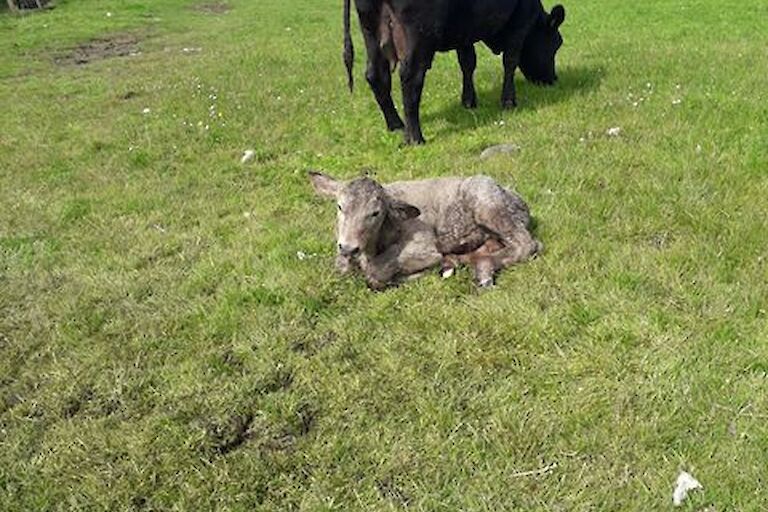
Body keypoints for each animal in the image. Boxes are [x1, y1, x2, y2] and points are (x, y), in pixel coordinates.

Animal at [308, 172, 540, 288]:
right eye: (340, 206)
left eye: (375, 213)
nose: (349, 247)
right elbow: (341, 267)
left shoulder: (424, 244)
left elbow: (375, 271)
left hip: (488, 204)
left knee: (527, 244)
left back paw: (481, 269)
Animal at [344, 0, 568, 144]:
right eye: (557, 43)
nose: (552, 79)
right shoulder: (519, 22)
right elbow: (510, 61)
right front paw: (508, 101)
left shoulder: (465, 32)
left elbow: (467, 63)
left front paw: (468, 101)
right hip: (417, 35)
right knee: (410, 78)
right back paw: (415, 137)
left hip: (370, 29)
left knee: (376, 76)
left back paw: (396, 125)